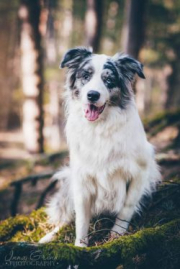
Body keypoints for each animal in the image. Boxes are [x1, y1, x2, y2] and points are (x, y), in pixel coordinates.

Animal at [39, 46, 160, 245]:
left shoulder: (140, 172)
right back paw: (49, 236)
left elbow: (126, 208)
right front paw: (80, 246)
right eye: (86, 76)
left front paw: (116, 235)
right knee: (67, 218)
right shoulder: (81, 178)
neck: (100, 127)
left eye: (109, 80)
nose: (92, 95)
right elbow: (81, 219)